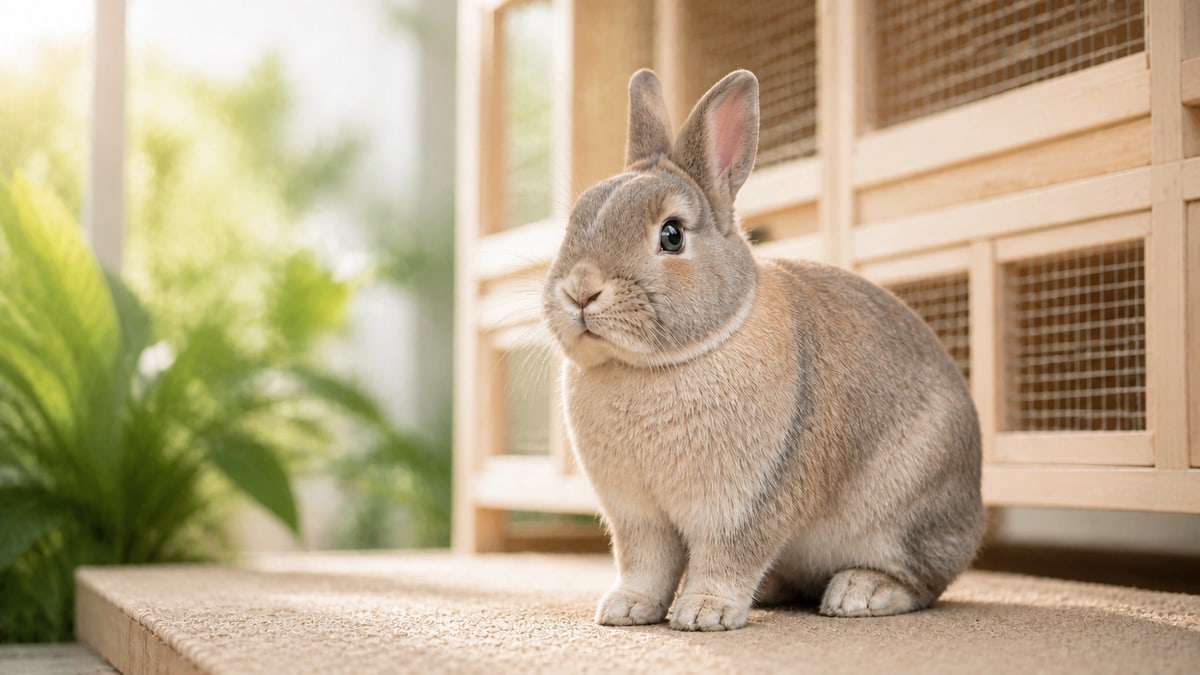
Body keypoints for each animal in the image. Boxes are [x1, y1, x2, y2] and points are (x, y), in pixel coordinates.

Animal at [541, 68, 985, 632]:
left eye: (672, 235)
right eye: (576, 220)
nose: (580, 290)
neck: (657, 364)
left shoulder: (745, 504)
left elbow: (725, 559)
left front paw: (704, 613)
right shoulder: (638, 516)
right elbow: (645, 564)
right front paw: (625, 609)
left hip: (909, 511)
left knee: (923, 582)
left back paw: (861, 593)